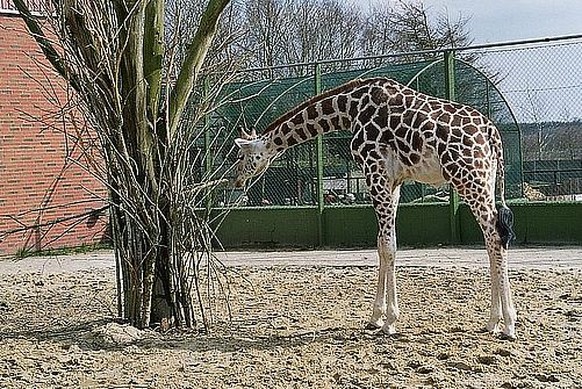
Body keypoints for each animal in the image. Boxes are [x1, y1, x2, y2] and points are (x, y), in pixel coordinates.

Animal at [235, 77, 516, 338]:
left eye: (240, 156)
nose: (236, 181)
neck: (349, 109)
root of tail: (491, 132)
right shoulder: (394, 181)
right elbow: (381, 244)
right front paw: (375, 318)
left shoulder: (374, 171)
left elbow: (389, 246)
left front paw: (390, 321)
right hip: (485, 179)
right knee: (492, 239)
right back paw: (492, 322)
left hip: (468, 178)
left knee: (494, 236)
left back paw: (508, 325)